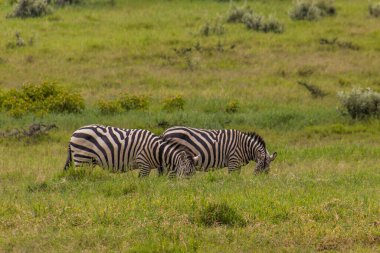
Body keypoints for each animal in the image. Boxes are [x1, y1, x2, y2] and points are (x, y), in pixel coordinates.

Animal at [63, 125, 199, 178]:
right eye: (187, 173)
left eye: (193, 174)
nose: (185, 190)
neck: (157, 151)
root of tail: (74, 133)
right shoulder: (143, 163)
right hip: (82, 159)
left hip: (89, 161)